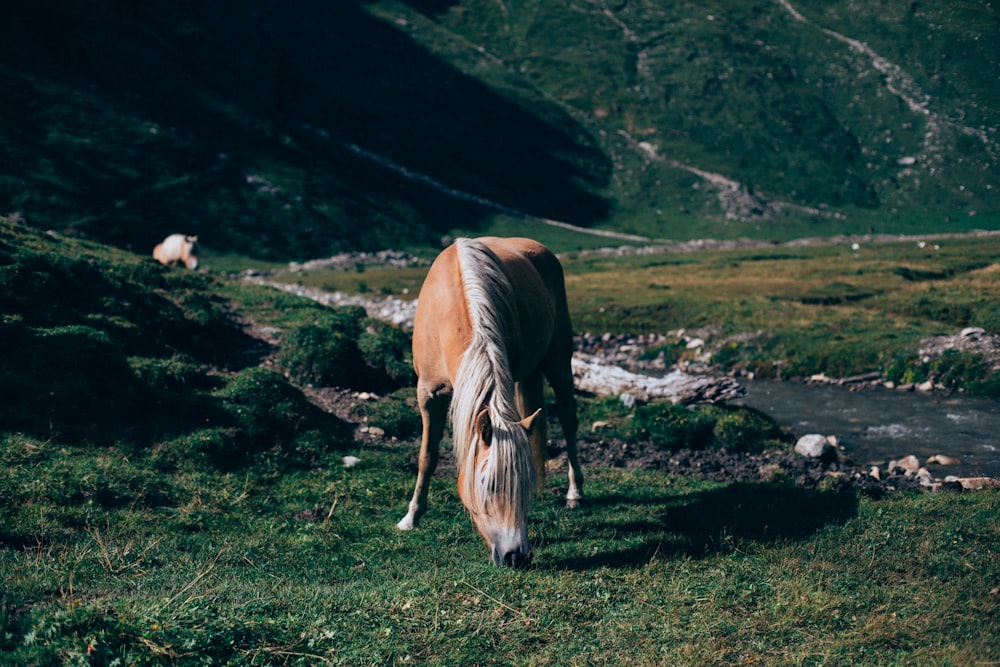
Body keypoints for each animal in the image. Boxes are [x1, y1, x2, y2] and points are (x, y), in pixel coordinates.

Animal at [396, 237, 584, 568]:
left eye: (523, 485)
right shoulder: (427, 395)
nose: (516, 556)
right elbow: (426, 457)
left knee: (568, 418)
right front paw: (411, 517)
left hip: (559, 360)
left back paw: (575, 493)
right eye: (487, 485)